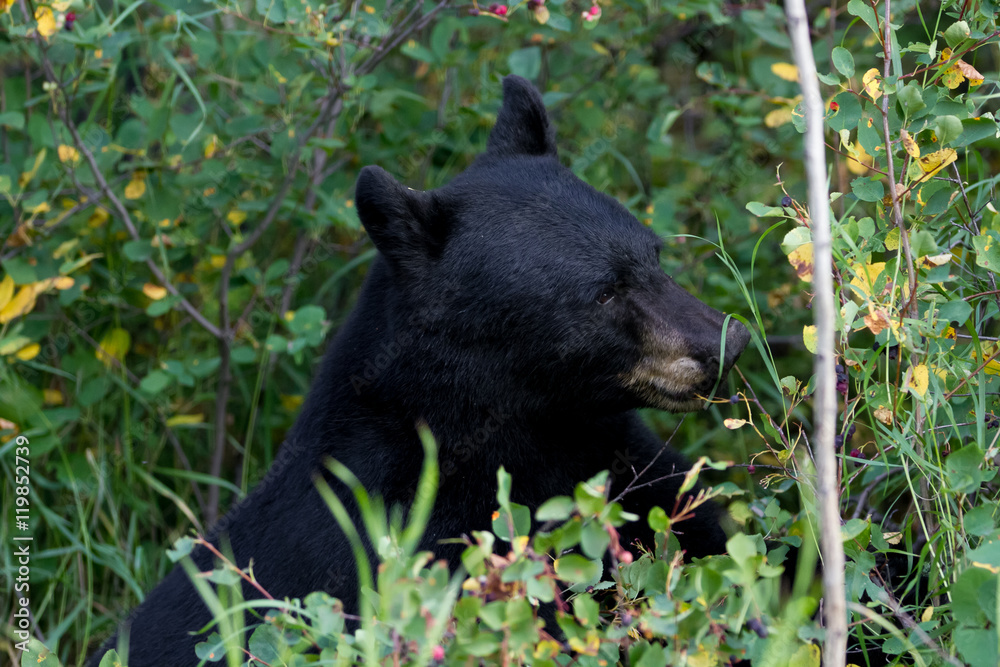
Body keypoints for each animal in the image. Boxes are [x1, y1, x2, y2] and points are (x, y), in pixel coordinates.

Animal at [90, 75, 749, 666]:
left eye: (654, 255)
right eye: (604, 292)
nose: (727, 340)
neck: (520, 430)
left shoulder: (622, 462)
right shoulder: (415, 545)